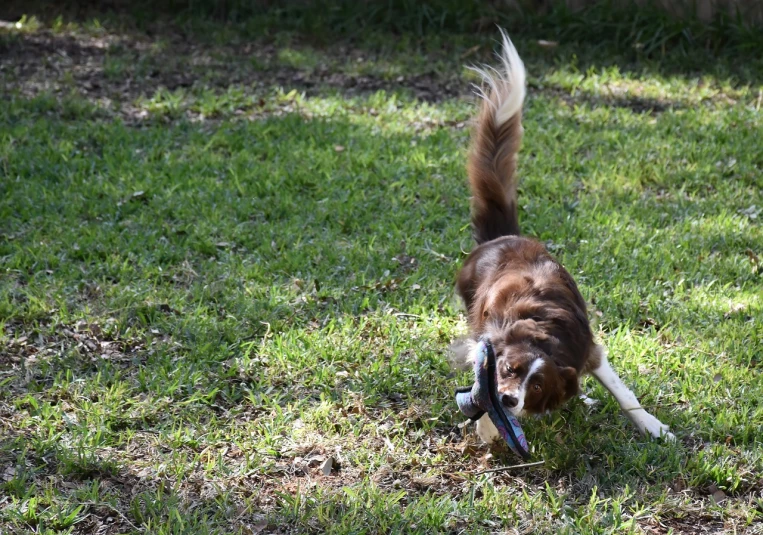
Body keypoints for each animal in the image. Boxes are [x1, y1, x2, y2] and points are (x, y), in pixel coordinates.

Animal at [454, 31, 676, 446]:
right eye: (508, 369)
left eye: (537, 385)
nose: (508, 400)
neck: (545, 336)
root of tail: (506, 236)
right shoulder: (487, 345)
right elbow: (481, 384)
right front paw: (489, 424)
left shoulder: (588, 351)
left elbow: (623, 392)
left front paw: (652, 425)